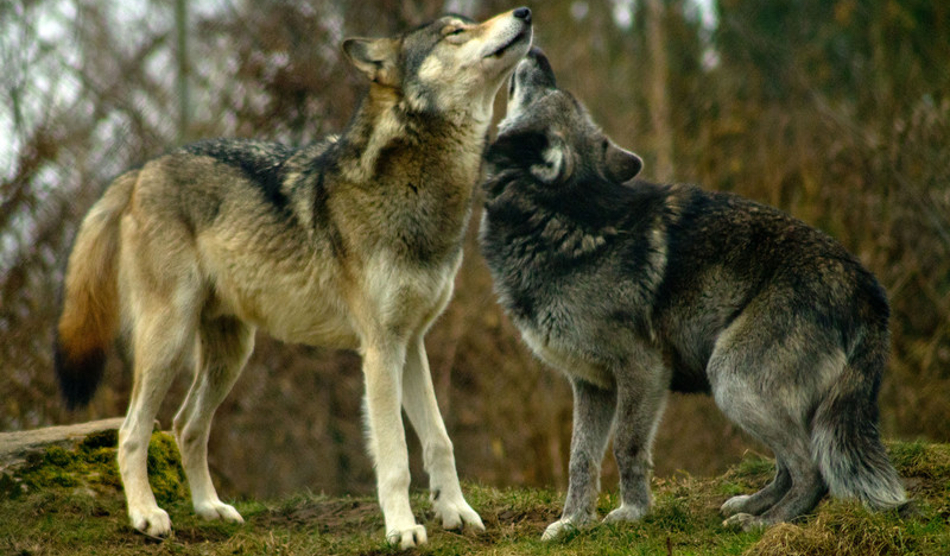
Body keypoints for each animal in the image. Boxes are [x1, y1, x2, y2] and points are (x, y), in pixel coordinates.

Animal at [54, 8, 532, 548]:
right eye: (456, 32)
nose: (523, 13)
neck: (418, 189)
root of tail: (140, 172)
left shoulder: (412, 341)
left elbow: (439, 439)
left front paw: (457, 512)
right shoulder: (380, 349)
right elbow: (395, 458)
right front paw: (402, 529)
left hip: (232, 354)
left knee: (184, 425)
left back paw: (209, 508)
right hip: (168, 343)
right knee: (131, 431)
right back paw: (146, 515)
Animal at [479, 48, 906, 539]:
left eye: (551, 91)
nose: (537, 52)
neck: (556, 221)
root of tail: (870, 290)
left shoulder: (643, 371)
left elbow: (626, 446)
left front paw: (632, 513)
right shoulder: (591, 386)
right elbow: (580, 461)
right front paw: (572, 523)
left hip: (732, 380)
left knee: (811, 469)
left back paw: (764, 524)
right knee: (789, 465)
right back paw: (753, 504)